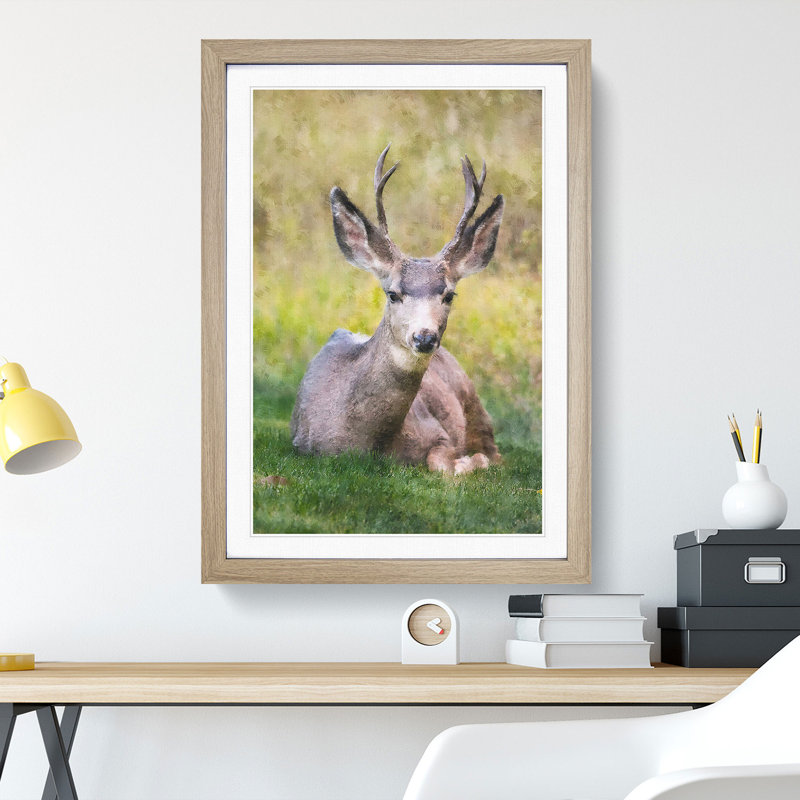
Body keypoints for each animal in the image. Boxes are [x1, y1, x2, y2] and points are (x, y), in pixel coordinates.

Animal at [290, 145, 504, 475]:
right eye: (392, 294)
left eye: (449, 295)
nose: (424, 337)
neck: (368, 443)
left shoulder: (438, 432)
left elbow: (442, 463)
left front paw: (468, 462)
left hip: (474, 402)